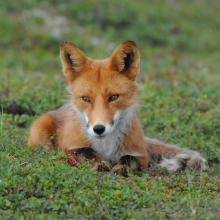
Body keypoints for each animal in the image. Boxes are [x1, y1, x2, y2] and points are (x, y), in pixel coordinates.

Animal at [27, 40, 206, 175]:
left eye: (114, 97)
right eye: (85, 99)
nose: (99, 129)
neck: (106, 146)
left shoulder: (141, 155)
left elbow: (128, 158)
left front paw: (122, 166)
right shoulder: (69, 148)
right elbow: (85, 151)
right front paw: (99, 162)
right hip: (41, 134)